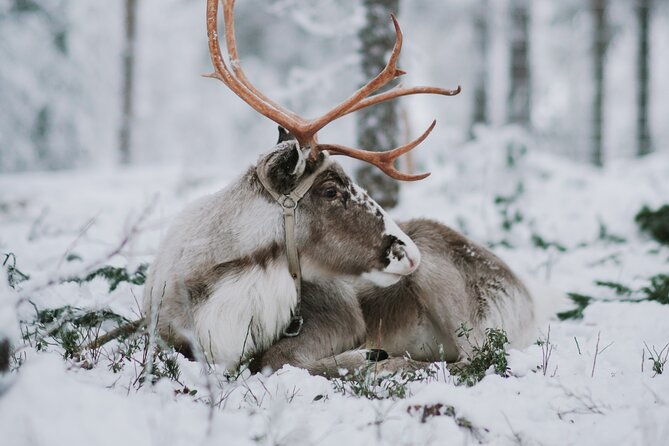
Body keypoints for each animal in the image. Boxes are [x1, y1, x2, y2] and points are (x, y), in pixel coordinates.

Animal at [141, 0, 535, 377]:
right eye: (330, 191)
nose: (409, 253)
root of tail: (526, 296)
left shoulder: (343, 316)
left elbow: (275, 358)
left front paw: (370, 356)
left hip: (450, 293)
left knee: (473, 358)